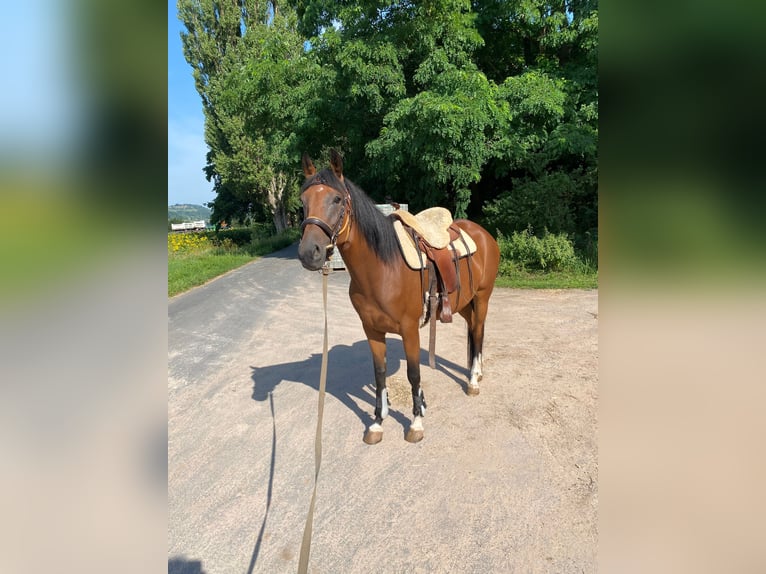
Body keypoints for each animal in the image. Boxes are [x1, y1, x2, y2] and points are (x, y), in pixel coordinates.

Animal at [296, 150, 500, 446]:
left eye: (336, 199)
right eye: (303, 201)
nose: (308, 253)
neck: (383, 269)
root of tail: (483, 234)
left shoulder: (409, 329)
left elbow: (413, 374)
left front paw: (416, 423)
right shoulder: (372, 330)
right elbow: (380, 375)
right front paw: (377, 424)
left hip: (483, 297)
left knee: (480, 330)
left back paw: (473, 380)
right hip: (464, 302)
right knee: (474, 331)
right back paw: (477, 372)